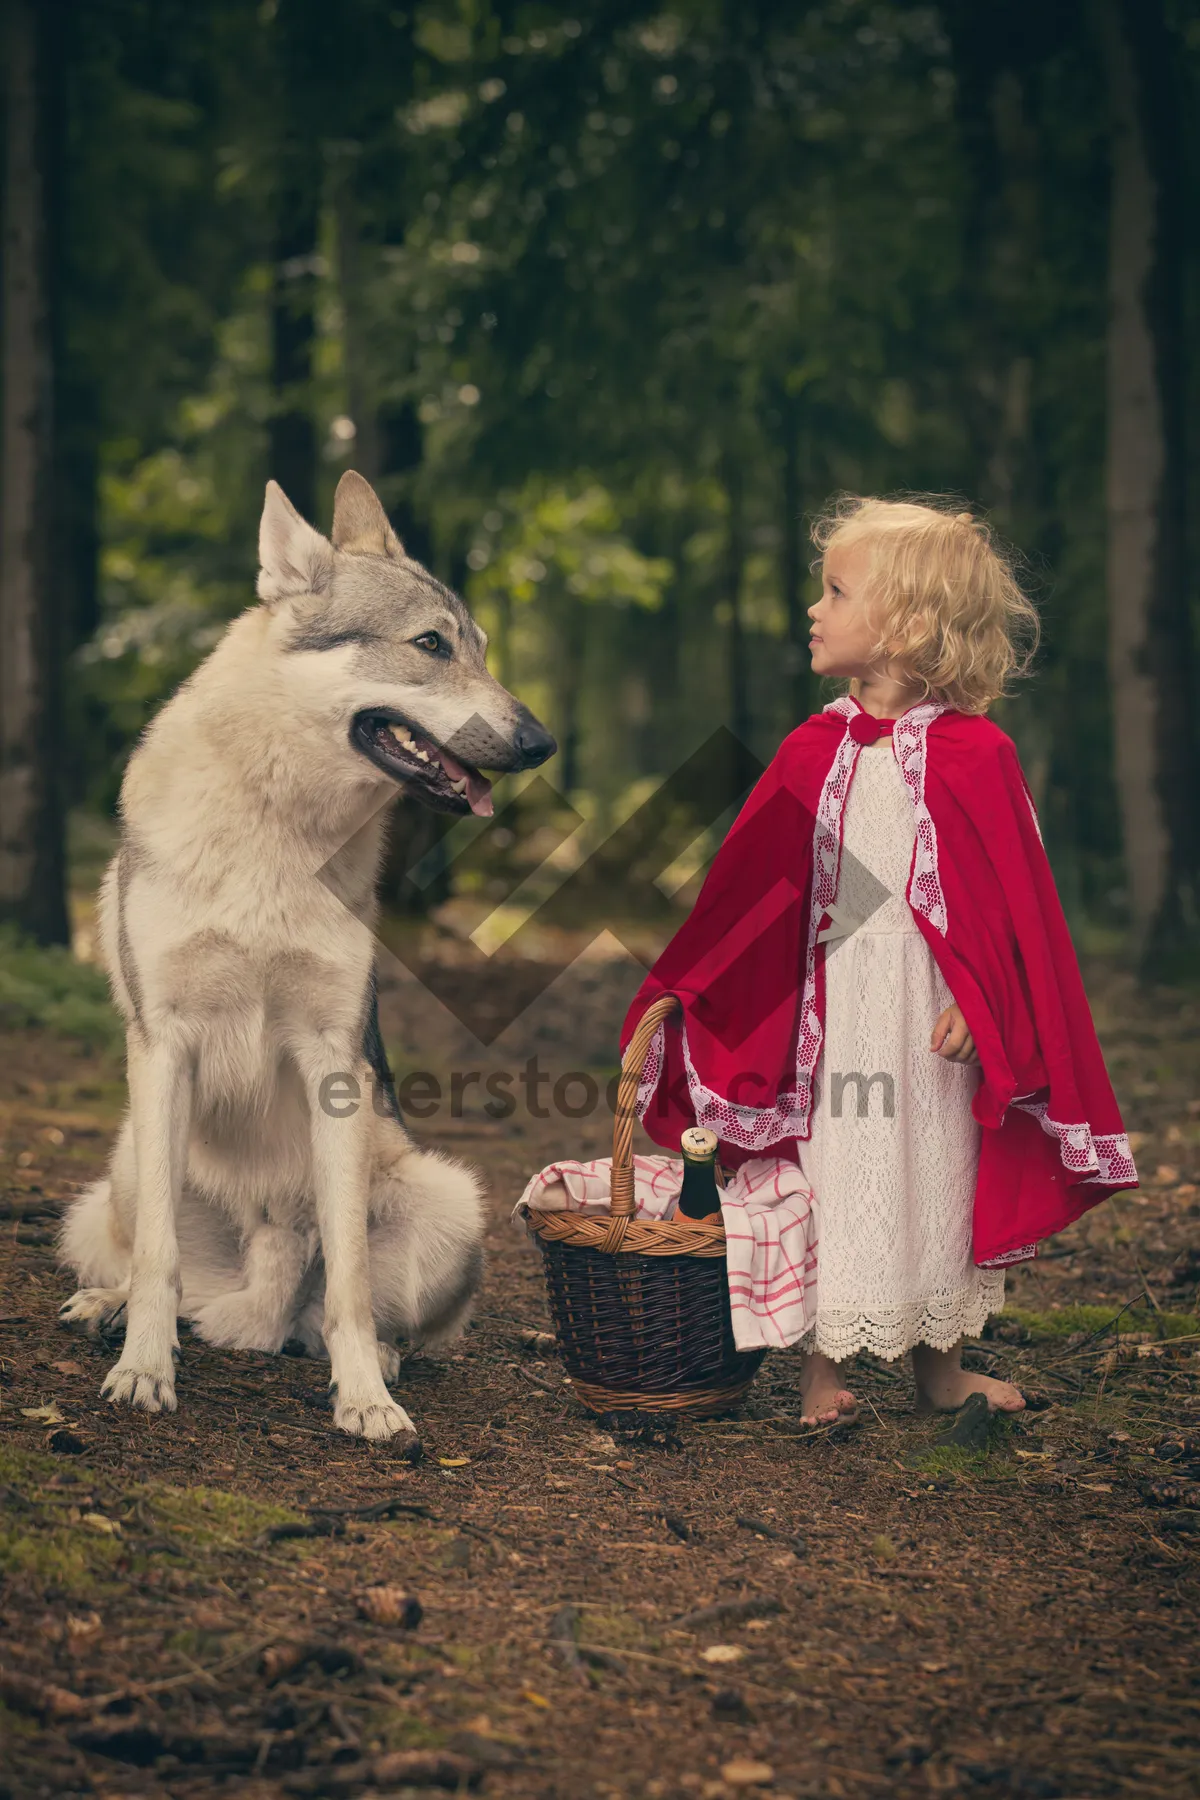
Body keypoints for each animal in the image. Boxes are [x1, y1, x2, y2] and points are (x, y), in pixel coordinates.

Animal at [58, 471, 557, 1440]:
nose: (540, 742)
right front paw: (143, 1373)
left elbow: (351, 1285)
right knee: (149, 1268)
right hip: (126, 1168)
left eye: (481, 650)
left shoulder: (334, 1060)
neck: (277, 834)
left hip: (449, 1199)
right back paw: (108, 1312)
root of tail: (262, 1253)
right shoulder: (164, 1043)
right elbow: (157, 1264)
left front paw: (365, 1398)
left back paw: (375, 1358)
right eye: (432, 645)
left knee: (324, 1312)